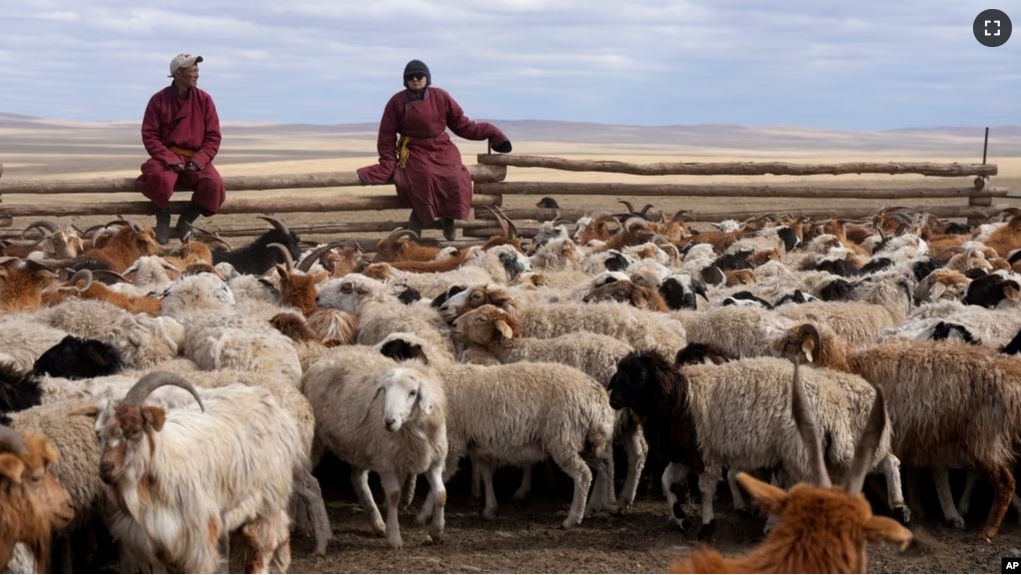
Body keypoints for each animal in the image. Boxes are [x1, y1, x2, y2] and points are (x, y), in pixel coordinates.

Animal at [86, 371, 302, 571]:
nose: (106, 469)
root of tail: (268, 400)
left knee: (262, 546)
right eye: (99, 434)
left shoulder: (197, 542)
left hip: (268, 502)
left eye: (135, 431)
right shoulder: (153, 546)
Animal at [300, 351, 449, 547]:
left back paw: (377, 523)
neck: (412, 429)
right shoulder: (387, 463)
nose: (389, 421)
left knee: (358, 478)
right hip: (316, 443)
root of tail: (322, 359)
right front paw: (394, 538)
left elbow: (441, 494)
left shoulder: (435, 460)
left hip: (360, 445)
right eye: (384, 390)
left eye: (413, 392)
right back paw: (305, 526)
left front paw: (437, 532)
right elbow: (393, 496)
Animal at [771, 326, 1021, 543]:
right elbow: (918, 472)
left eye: (790, 343)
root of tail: (1009, 376)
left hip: (984, 436)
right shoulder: (916, 435)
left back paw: (987, 531)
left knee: (1004, 482)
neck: (848, 364)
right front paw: (915, 507)